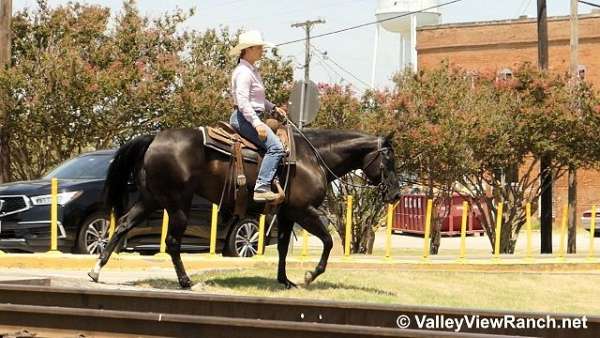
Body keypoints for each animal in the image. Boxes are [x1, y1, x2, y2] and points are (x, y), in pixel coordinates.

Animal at [86, 127, 400, 288]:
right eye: (389, 159)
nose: (397, 194)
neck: (313, 157)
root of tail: (155, 138)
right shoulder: (305, 210)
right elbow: (327, 241)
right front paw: (310, 275)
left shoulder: (287, 214)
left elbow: (283, 248)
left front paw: (284, 280)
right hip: (177, 205)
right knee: (173, 241)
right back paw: (186, 281)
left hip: (151, 199)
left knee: (123, 225)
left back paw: (96, 271)